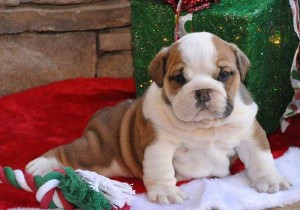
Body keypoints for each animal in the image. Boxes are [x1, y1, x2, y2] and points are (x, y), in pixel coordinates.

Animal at [26, 32, 290, 204]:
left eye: (224, 75)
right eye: (179, 78)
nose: (203, 90)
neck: (204, 127)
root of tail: (101, 114)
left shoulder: (250, 133)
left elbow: (260, 157)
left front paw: (270, 180)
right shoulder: (158, 144)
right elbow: (160, 168)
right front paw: (165, 192)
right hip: (99, 151)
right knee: (67, 153)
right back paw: (39, 165)